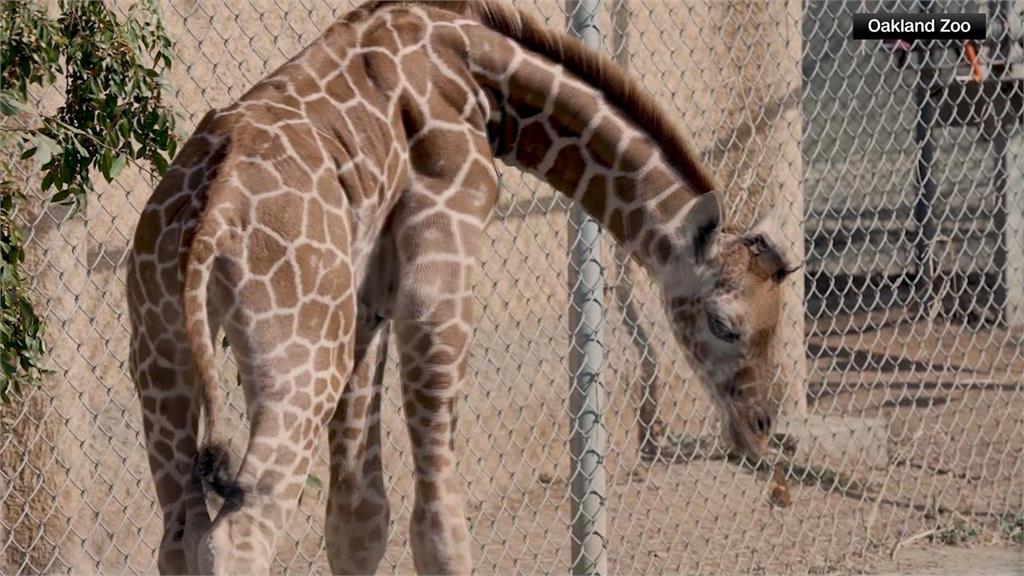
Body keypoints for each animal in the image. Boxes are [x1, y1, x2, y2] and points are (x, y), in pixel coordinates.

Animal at [125, 2, 798, 569]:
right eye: (725, 324)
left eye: (778, 320)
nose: (761, 426)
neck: (483, 78)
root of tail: (209, 222)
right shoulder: (442, 254)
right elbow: (440, 521)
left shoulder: (366, 303)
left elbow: (359, 518)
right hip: (298, 359)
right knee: (238, 534)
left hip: (165, 348)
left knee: (179, 535)